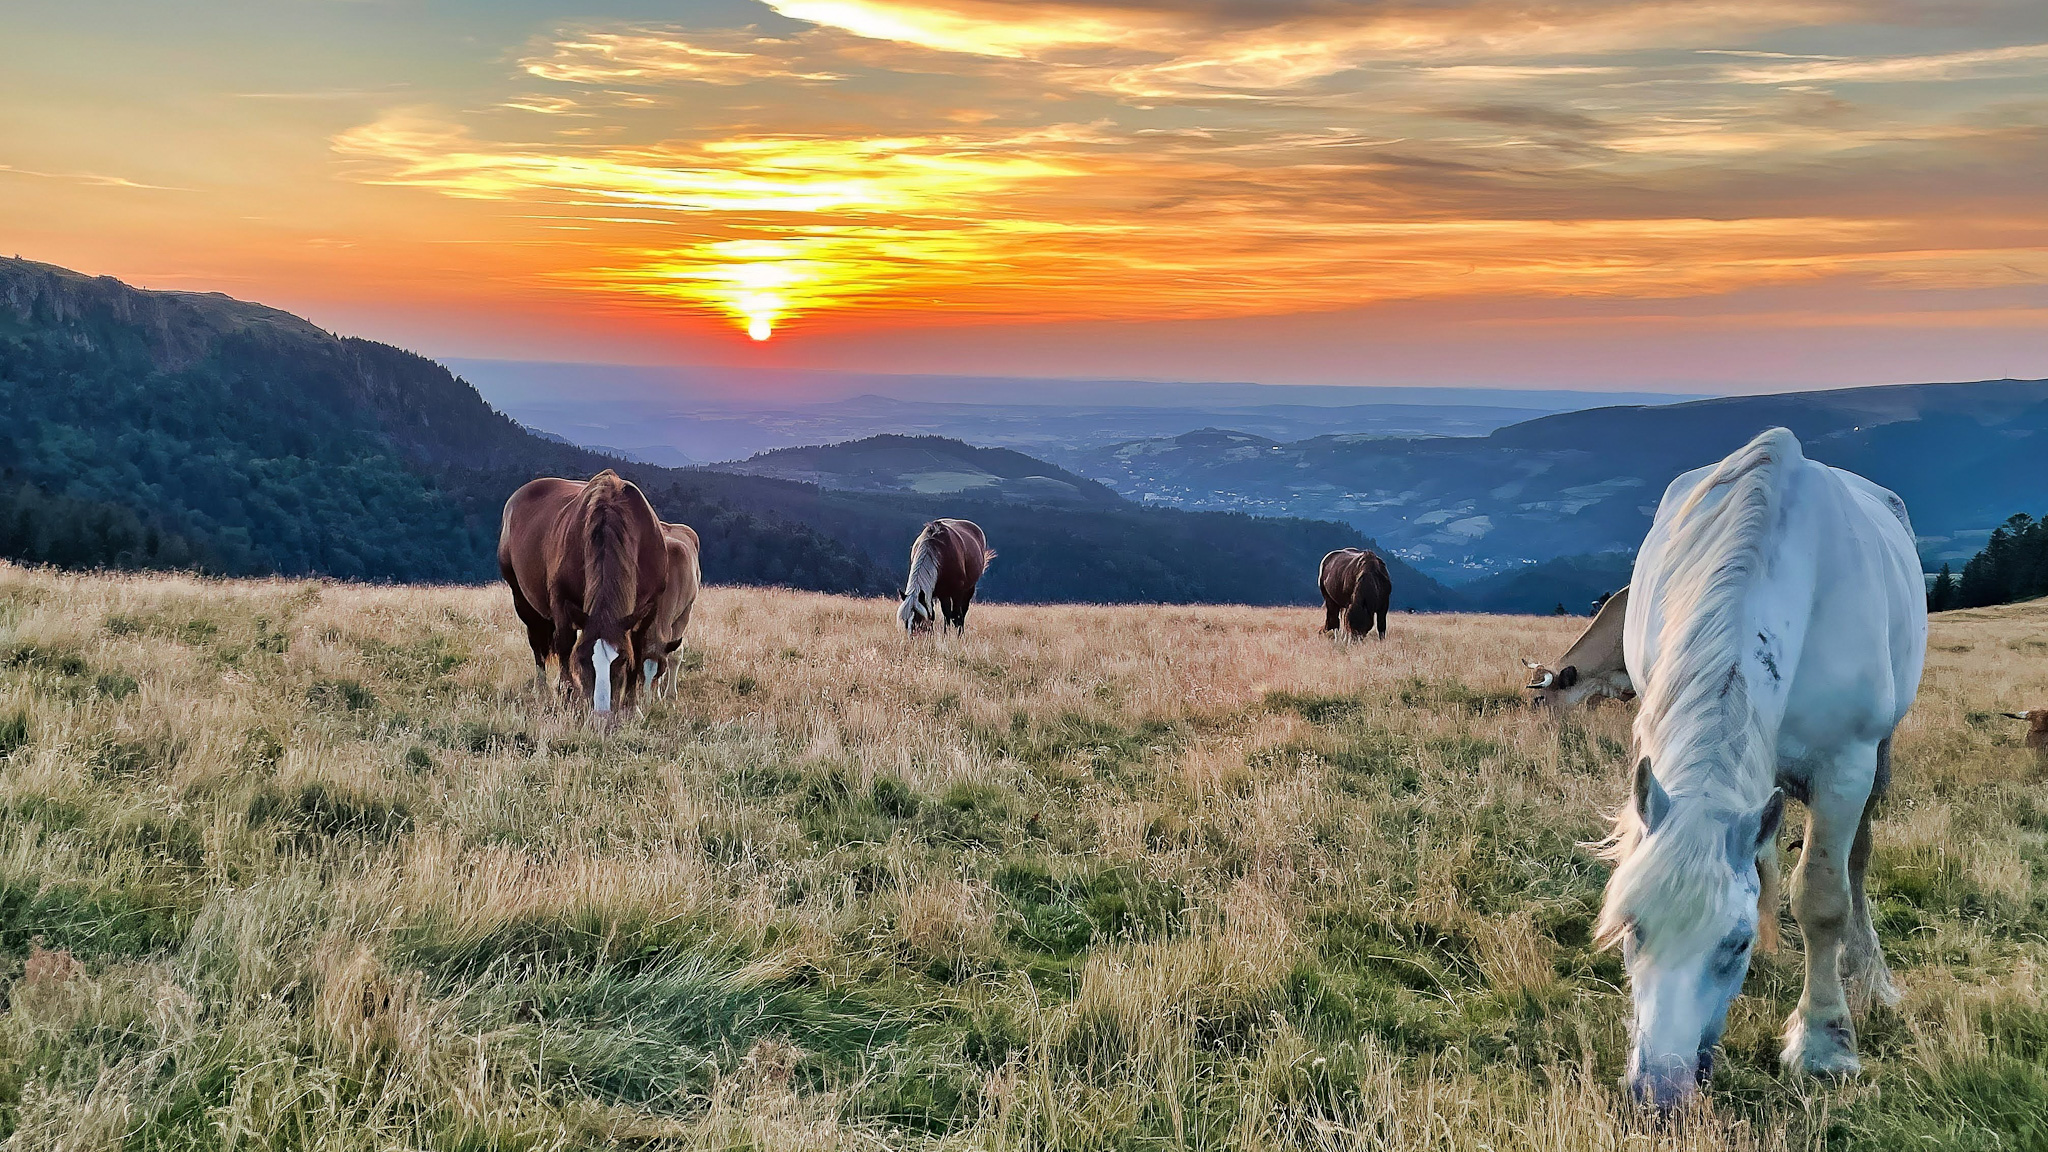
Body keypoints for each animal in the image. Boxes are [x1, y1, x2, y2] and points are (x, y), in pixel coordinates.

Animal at [495, 467, 663, 709]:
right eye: (582, 660)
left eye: (621, 659)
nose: (602, 709)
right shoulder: (561, 600)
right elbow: (565, 645)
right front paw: (568, 695)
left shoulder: (649, 608)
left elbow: (638, 649)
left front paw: (631, 703)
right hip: (522, 600)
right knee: (538, 644)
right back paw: (542, 689)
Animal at [1605, 428, 1925, 1106]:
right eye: (1631, 928)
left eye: (1738, 943)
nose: (1660, 1095)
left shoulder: (1847, 768)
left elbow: (1823, 897)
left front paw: (1824, 1041)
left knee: (1858, 862)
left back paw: (1867, 975)